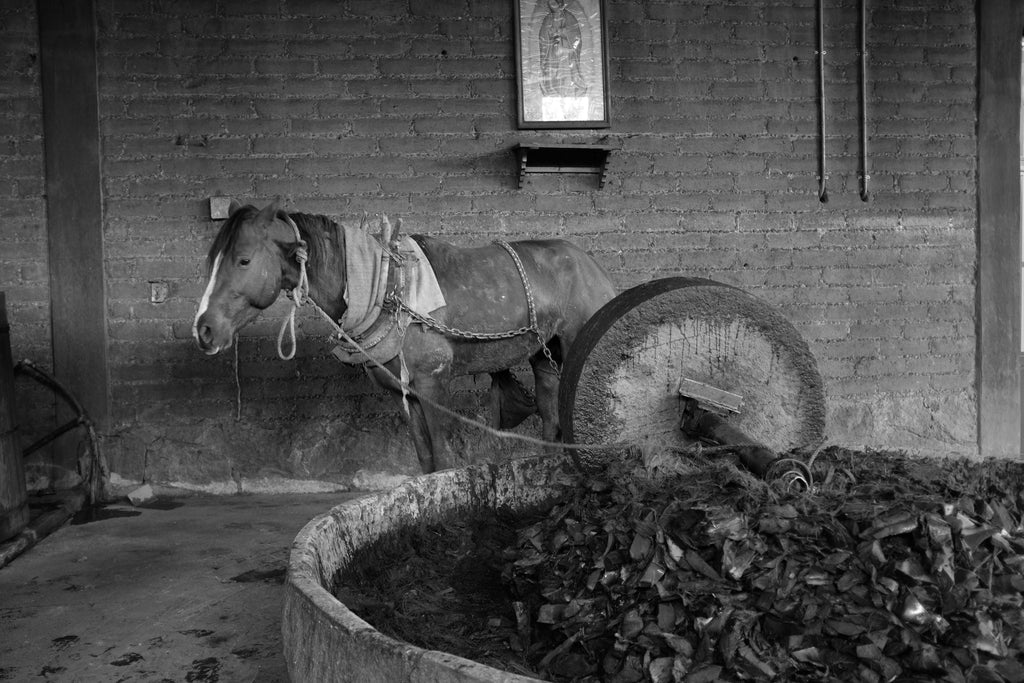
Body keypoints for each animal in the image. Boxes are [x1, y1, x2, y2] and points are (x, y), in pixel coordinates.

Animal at [192, 200, 614, 473]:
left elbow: (442, 461)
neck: (386, 287)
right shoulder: (404, 394)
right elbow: (425, 461)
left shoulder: (432, 385)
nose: (204, 329)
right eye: (213, 259)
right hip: (545, 356)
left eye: (244, 259)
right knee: (550, 415)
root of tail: (591, 263)